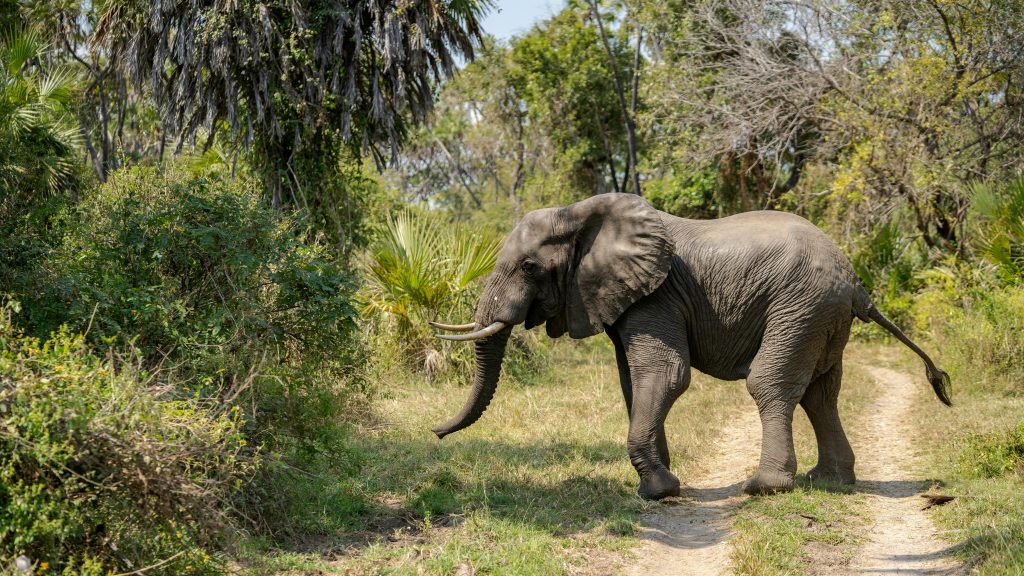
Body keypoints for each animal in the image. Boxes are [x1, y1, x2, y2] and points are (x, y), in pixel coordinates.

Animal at [430, 193, 951, 500]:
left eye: (530, 268)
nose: (434, 433)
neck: (580, 214)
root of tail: (857, 283)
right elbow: (632, 382)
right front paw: (657, 480)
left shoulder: (656, 294)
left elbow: (665, 374)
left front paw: (658, 490)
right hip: (822, 316)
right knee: (820, 393)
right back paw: (828, 481)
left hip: (801, 306)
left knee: (772, 384)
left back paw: (764, 487)